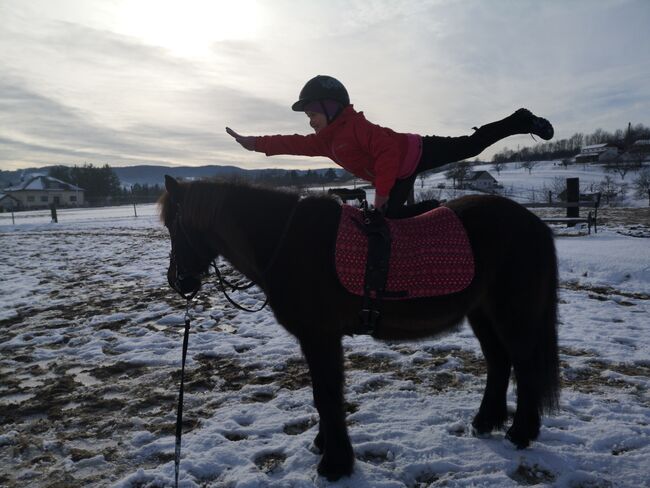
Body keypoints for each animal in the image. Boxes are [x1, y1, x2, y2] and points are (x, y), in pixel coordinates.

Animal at [157, 175, 556, 480]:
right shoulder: (317, 339)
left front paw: (335, 463)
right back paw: (486, 421)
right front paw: (324, 445)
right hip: (482, 313)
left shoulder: (320, 336)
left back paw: (521, 432)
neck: (286, 241)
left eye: (175, 226)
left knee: (524, 365)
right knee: (499, 362)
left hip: (512, 314)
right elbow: (323, 394)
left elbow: (327, 395)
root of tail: (533, 223)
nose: (179, 281)